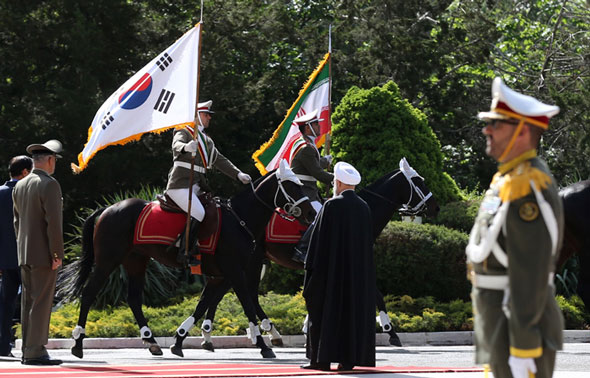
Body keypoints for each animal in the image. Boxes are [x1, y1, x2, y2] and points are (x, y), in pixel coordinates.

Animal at [62, 162, 316, 358]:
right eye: (291, 185)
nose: (312, 214)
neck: (239, 219)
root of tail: (108, 209)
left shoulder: (222, 273)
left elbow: (204, 303)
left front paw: (180, 339)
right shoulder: (234, 270)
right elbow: (246, 305)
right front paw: (262, 344)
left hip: (136, 261)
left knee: (133, 298)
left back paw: (151, 341)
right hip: (108, 261)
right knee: (89, 293)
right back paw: (78, 344)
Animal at [183, 157, 442, 352]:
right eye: (418, 181)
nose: (436, 206)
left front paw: (310, 325)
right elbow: (376, 293)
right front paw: (390, 330)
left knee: (229, 293)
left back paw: (217, 335)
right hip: (249, 262)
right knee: (242, 294)